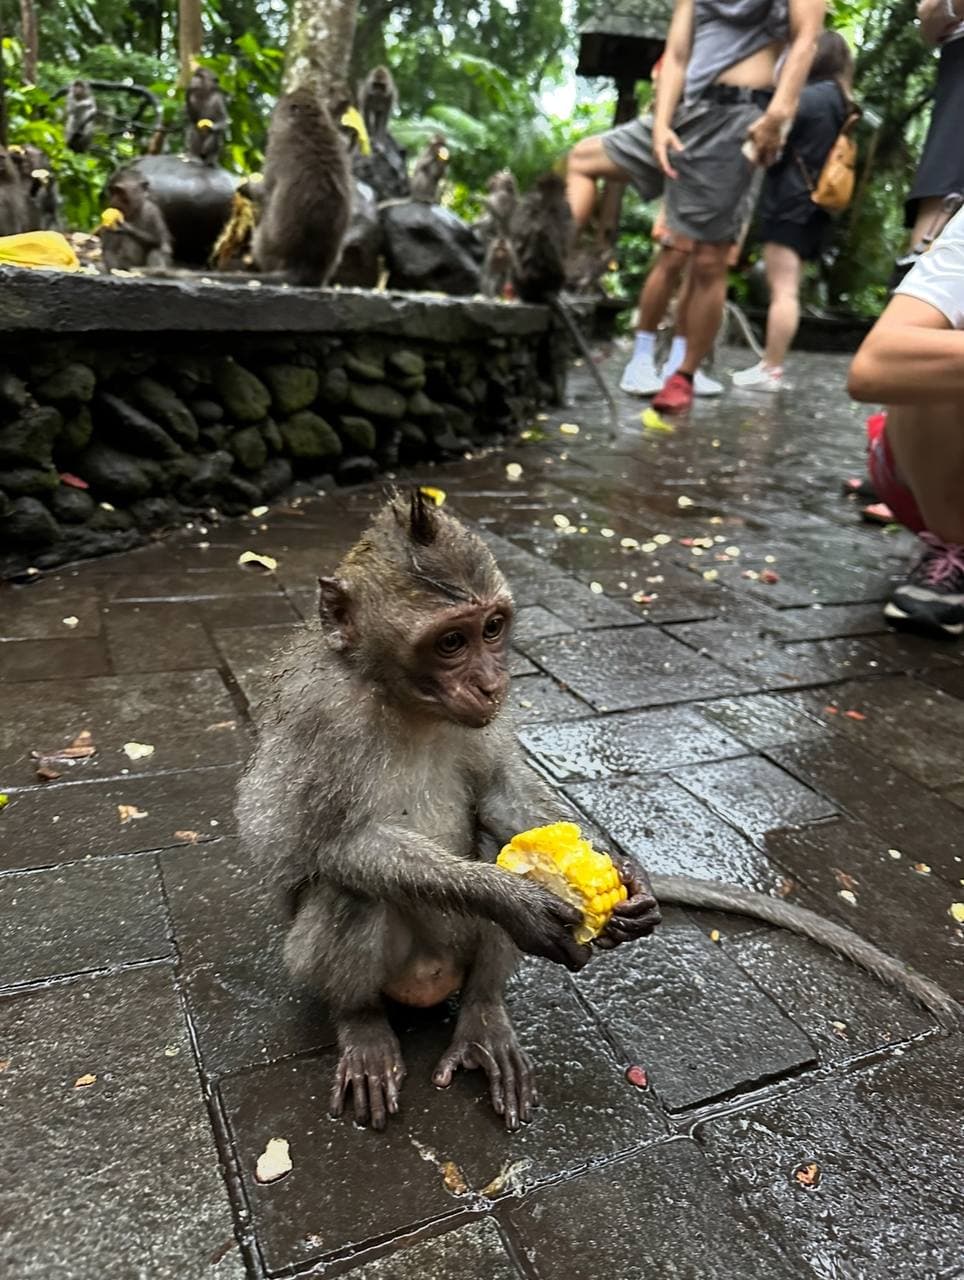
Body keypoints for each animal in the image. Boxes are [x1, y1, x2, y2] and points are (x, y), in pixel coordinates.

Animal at [236, 492, 962, 1135]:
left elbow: (502, 802)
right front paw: (516, 899)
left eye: (492, 629)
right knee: (352, 891)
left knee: (482, 868)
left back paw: (484, 1016)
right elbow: (329, 846)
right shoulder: (324, 718)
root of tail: (428, 987)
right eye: (449, 643)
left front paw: (627, 878)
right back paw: (361, 1023)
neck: (402, 701)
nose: (493, 683)